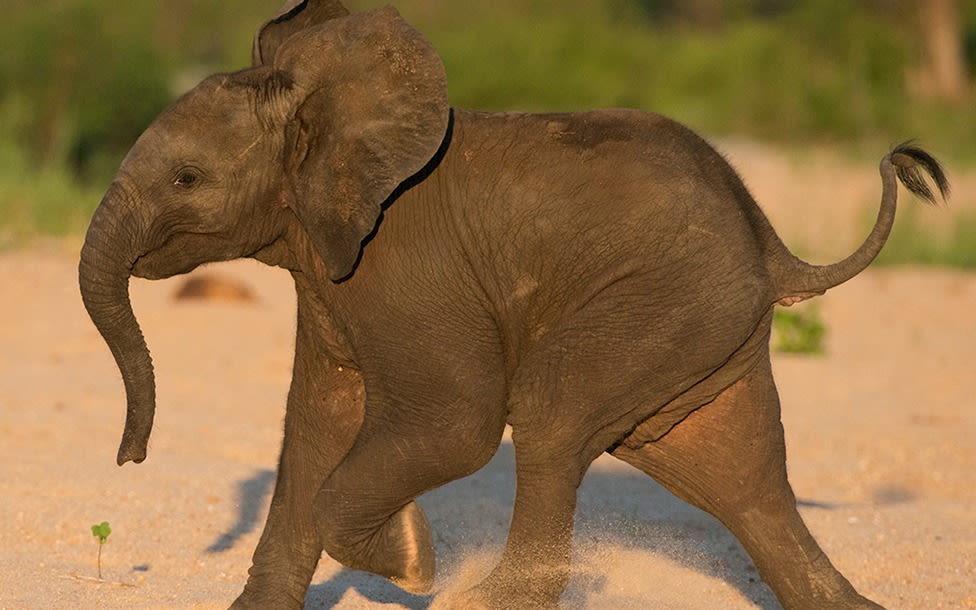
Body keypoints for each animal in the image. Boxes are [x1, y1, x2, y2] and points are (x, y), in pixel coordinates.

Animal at [80, 1, 948, 608]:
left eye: (187, 179)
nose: (129, 459)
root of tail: (773, 243)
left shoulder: (404, 266)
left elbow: (453, 425)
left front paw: (415, 564)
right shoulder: (328, 271)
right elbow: (314, 428)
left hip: (665, 303)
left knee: (554, 413)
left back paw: (482, 601)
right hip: (705, 331)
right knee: (741, 480)